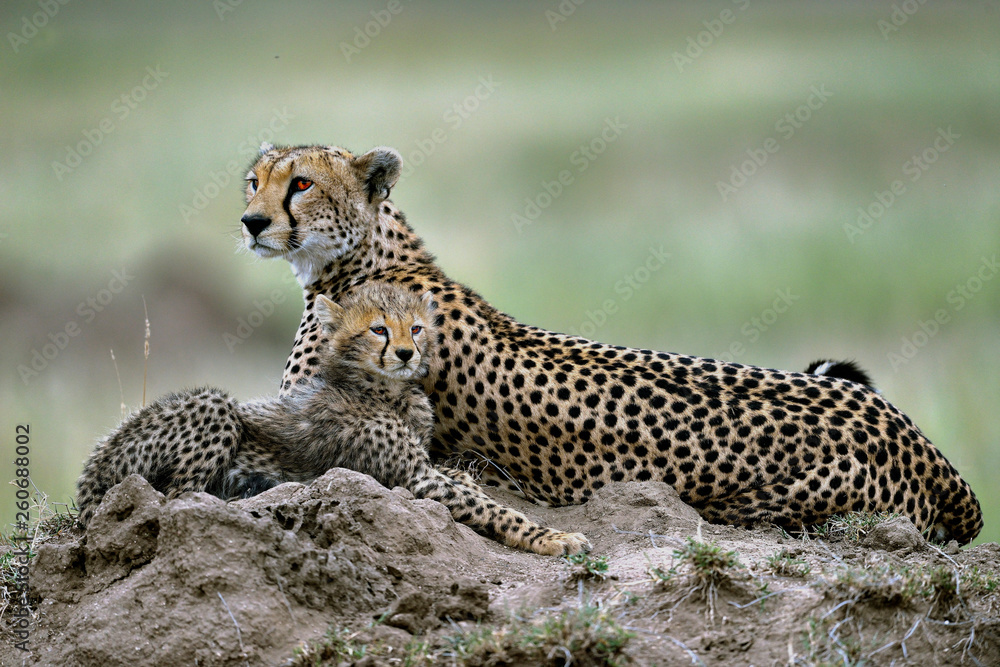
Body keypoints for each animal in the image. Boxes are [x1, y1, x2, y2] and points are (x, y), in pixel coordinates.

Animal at [76, 283, 590, 556]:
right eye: (379, 329)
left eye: (415, 327)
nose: (407, 353)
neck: (385, 389)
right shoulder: (415, 478)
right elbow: (493, 510)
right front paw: (555, 537)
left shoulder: (423, 464)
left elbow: (463, 480)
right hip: (211, 408)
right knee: (179, 496)